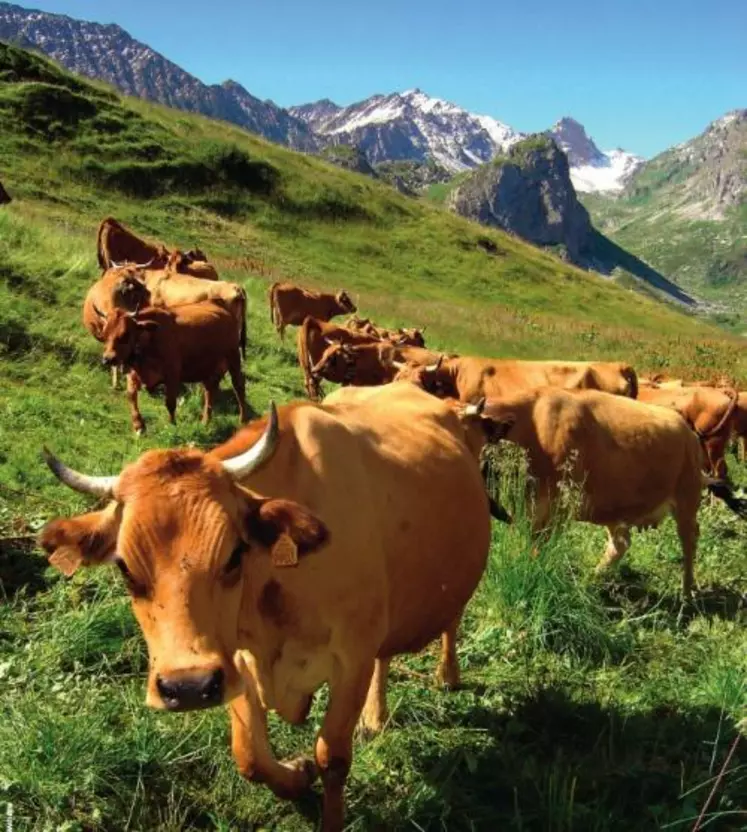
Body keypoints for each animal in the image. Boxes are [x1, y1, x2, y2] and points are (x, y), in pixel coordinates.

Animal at [42, 384, 496, 832]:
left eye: (233, 555)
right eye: (124, 568)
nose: (187, 687)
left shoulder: (352, 657)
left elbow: (333, 757)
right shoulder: (235, 658)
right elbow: (249, 756)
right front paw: (297, 774)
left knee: (451, 623)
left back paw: (447, 675)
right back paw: (376, 716)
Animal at [95, 300, 248, 432]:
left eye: (125, 334)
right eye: (104, 335)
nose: (108, 359)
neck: (149, 340)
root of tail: (220, 307)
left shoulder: (173, 374)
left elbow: (170, 402)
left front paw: (171, 424)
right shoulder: (133, 373)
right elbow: (131, 396)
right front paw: (138, 426)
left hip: (234, 357)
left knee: (238, 385)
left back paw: (243, 420)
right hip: (209, 368)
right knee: (210, 391)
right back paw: (205, 422)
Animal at [456, 390, 747, 600]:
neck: (533, 430)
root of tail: (688, 431)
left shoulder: (556, 511)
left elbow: (540, 550)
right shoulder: (532, 512)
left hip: (686, 500)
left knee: (689, 541)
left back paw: (687, 592)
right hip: (617, 509)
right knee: (620, 543)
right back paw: (593, 579)